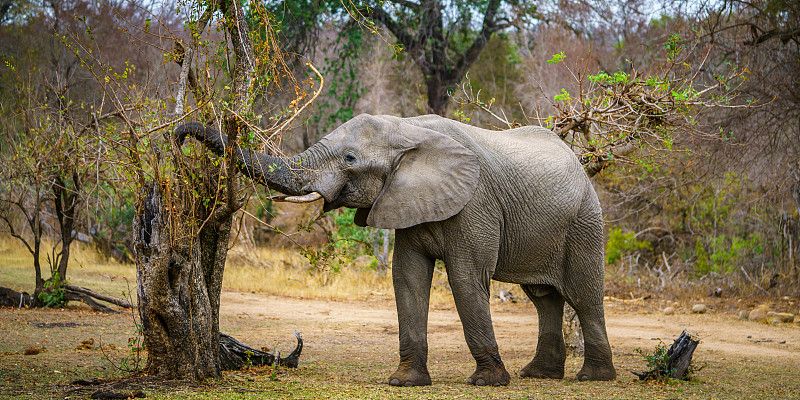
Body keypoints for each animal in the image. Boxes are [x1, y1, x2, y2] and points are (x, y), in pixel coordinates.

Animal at [178, 113, 620, 388]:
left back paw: (593, 378)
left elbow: (466, 279)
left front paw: (486, 383)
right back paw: (539, 375)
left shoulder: (475, 203)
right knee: (544, 297)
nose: (180, 137)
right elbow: (406, 277)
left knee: (582, 295)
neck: (407, 129)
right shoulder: (405, 200)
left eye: (350, 158)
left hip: (585, 220)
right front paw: (404, 381)